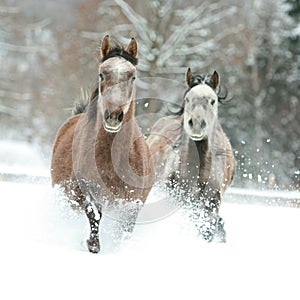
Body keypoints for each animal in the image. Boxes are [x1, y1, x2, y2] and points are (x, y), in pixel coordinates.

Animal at [50, 35, 154, 253]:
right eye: (101, 74)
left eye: (132, 77)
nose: (113, 116)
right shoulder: (85, 193)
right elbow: (94, 215)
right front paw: (93, 245)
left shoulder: (132, 202)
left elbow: (126, 228)